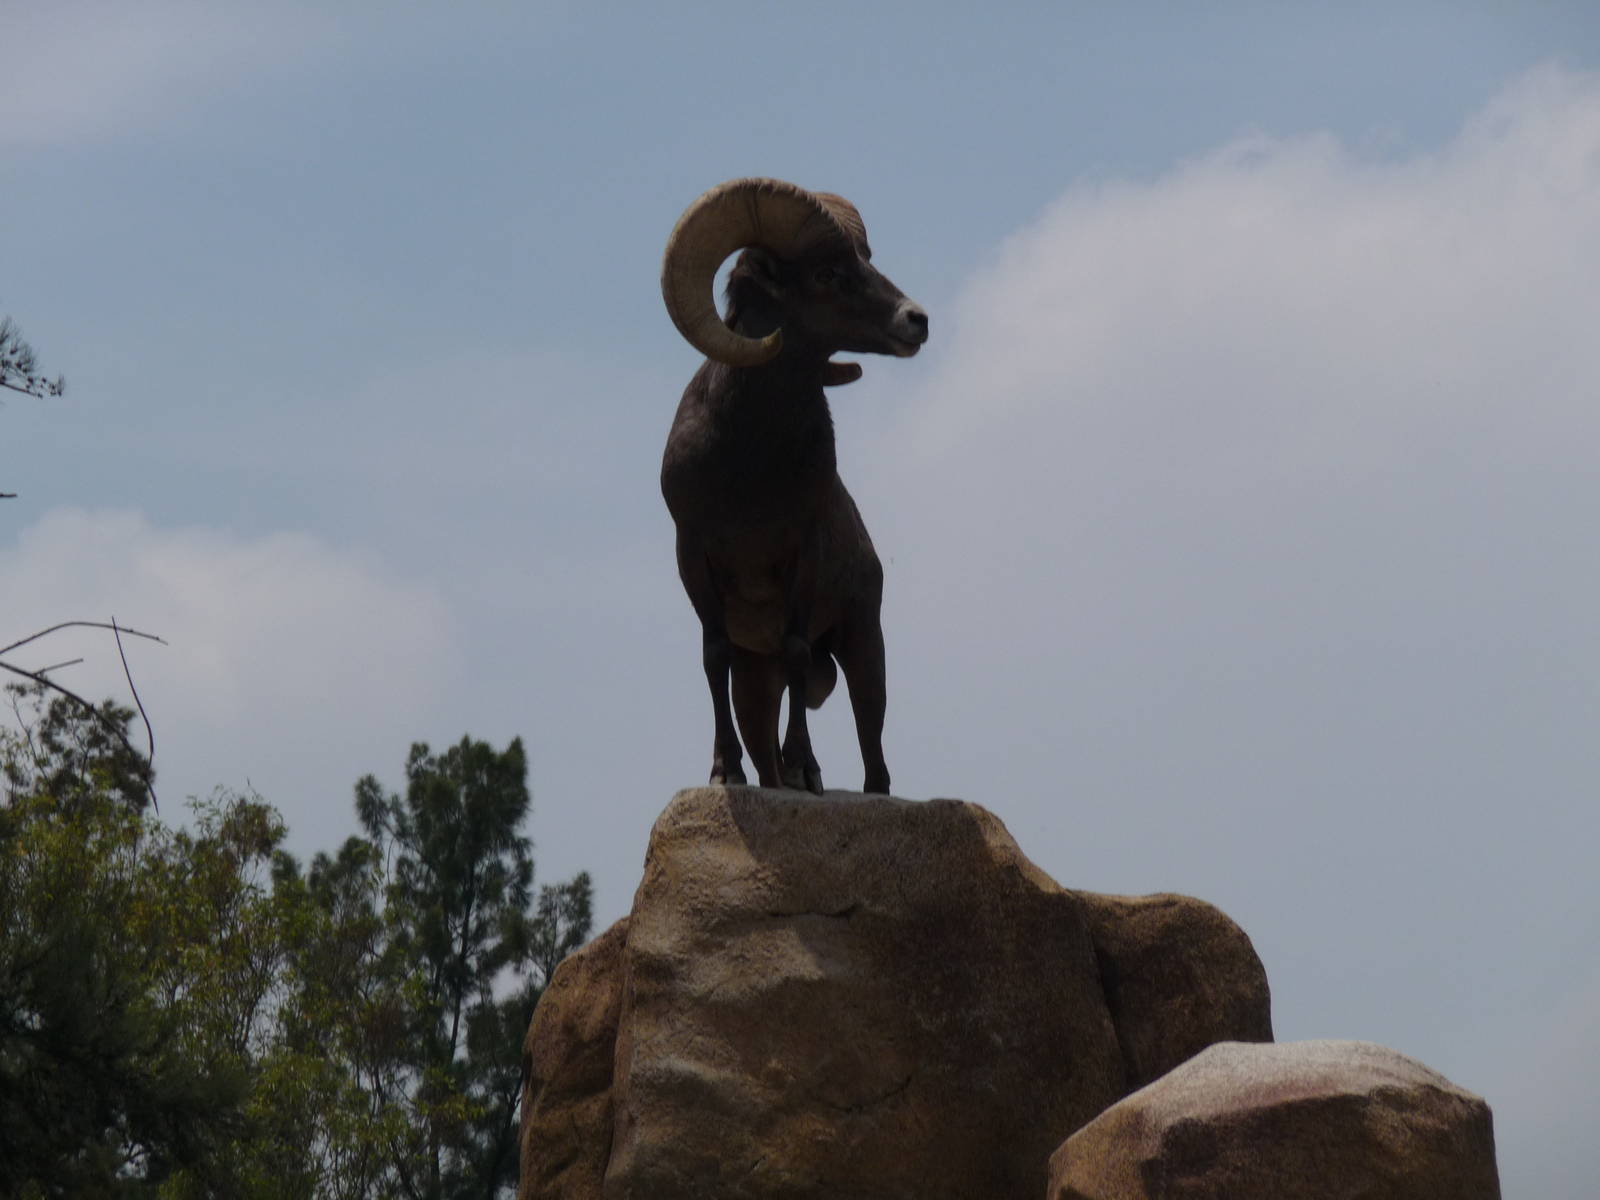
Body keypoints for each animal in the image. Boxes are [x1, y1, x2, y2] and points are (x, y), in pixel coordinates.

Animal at [659, 177, 929, 795]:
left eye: (866, 258)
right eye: (826, 272)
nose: (916, 320)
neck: (751, 469)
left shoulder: (802, 554)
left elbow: (799, 652)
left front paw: (807, 770)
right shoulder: (694, 555)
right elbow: (712, 656)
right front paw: (725, 772)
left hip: (864, 648)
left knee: (874, 760)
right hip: (756, 684)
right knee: (766, 754)